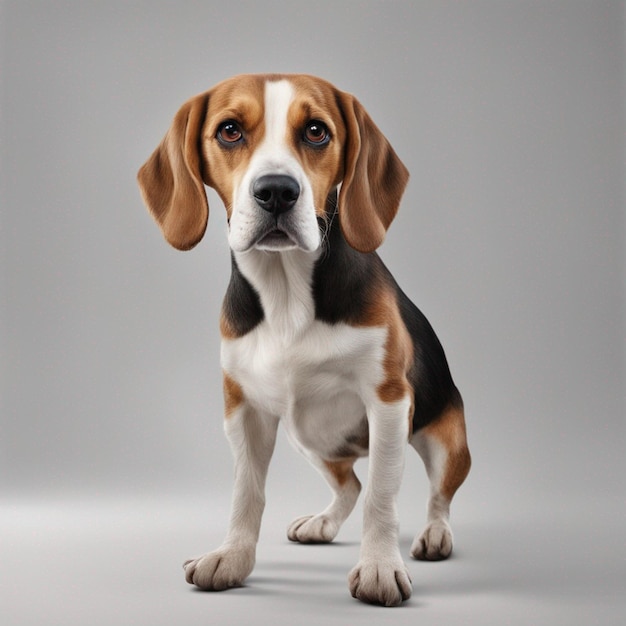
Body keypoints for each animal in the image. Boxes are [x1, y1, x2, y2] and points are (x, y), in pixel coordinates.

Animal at [136, 73, 468, 604]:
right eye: (229, 130)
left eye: (316, 131)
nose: (276, 191)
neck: (285, 290)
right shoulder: (245, 411)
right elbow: (246, 494)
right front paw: (231, 558)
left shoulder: (388, 401)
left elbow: (383, 496)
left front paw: (379, 567)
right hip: (307, 435)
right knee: (349, 485)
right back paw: (322, 523)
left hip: (447, 440)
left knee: (436, 494)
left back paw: (435, 534)